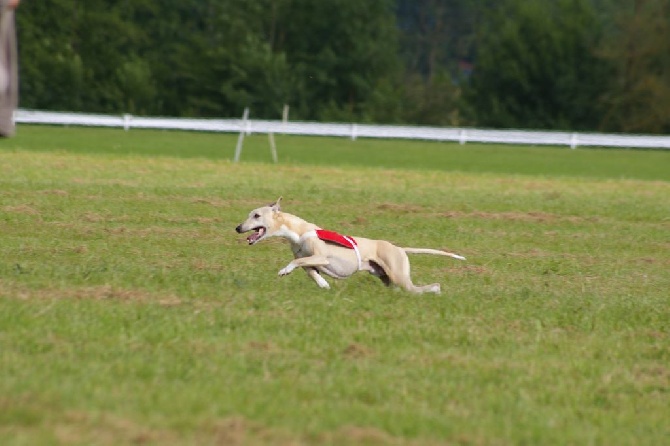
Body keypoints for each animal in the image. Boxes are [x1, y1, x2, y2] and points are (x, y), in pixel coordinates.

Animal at [238, 198, 468, 294]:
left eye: (256, 215)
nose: (238, 228)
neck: (299, 231)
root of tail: (399, 248)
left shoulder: (321, 257)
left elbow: (298, 261)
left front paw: (284, 270)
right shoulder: (311, 263)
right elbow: (308, 268)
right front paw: (324, 285)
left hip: (398, 275)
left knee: (421, 288)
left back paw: (435, 291)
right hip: (385, 277)